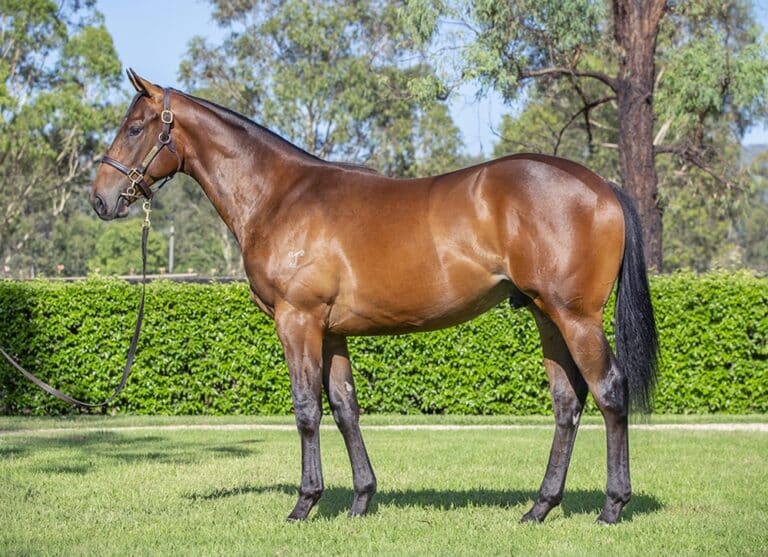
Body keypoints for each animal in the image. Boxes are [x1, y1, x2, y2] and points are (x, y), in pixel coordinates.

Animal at [91, 70, 658, 525]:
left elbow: (306, 409)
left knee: (609, 391)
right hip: (545, 314)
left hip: (575, 316)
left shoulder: (297, 320)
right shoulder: (331, 331)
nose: (100, 199)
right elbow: (345, 407)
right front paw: (361, 500)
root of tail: (602, 187)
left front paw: (304, 504)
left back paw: (612, 507)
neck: (279, 195)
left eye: (135, 128)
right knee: (568, 402)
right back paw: (539, 508)